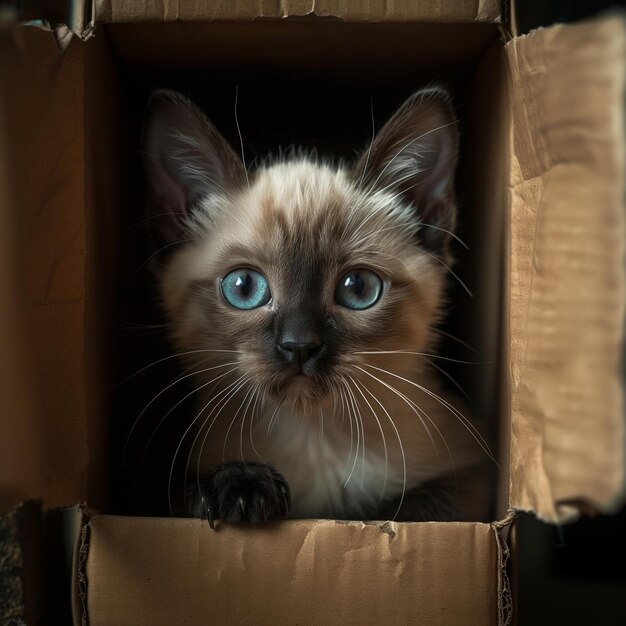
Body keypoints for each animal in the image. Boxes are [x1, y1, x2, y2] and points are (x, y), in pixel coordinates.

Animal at [141, 86, 492, 520]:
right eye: (244, 287)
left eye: (357, 289)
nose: (299, 346)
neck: (313, 434)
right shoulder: (166, 489)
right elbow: (184, 492)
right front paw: (241, 489)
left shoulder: (471, 476)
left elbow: (406, 509)